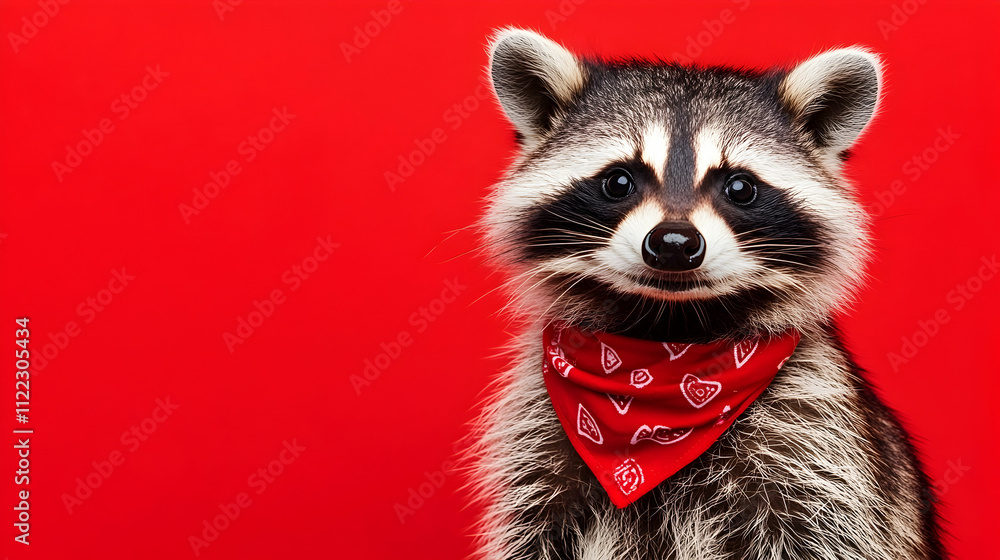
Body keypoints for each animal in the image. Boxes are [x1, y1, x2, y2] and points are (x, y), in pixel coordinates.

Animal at [469, 28, 944, 560]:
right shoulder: (536, 447)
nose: (673, 243)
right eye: (618, 180)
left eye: (739, 187)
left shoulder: (818, 444)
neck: (669, 336)